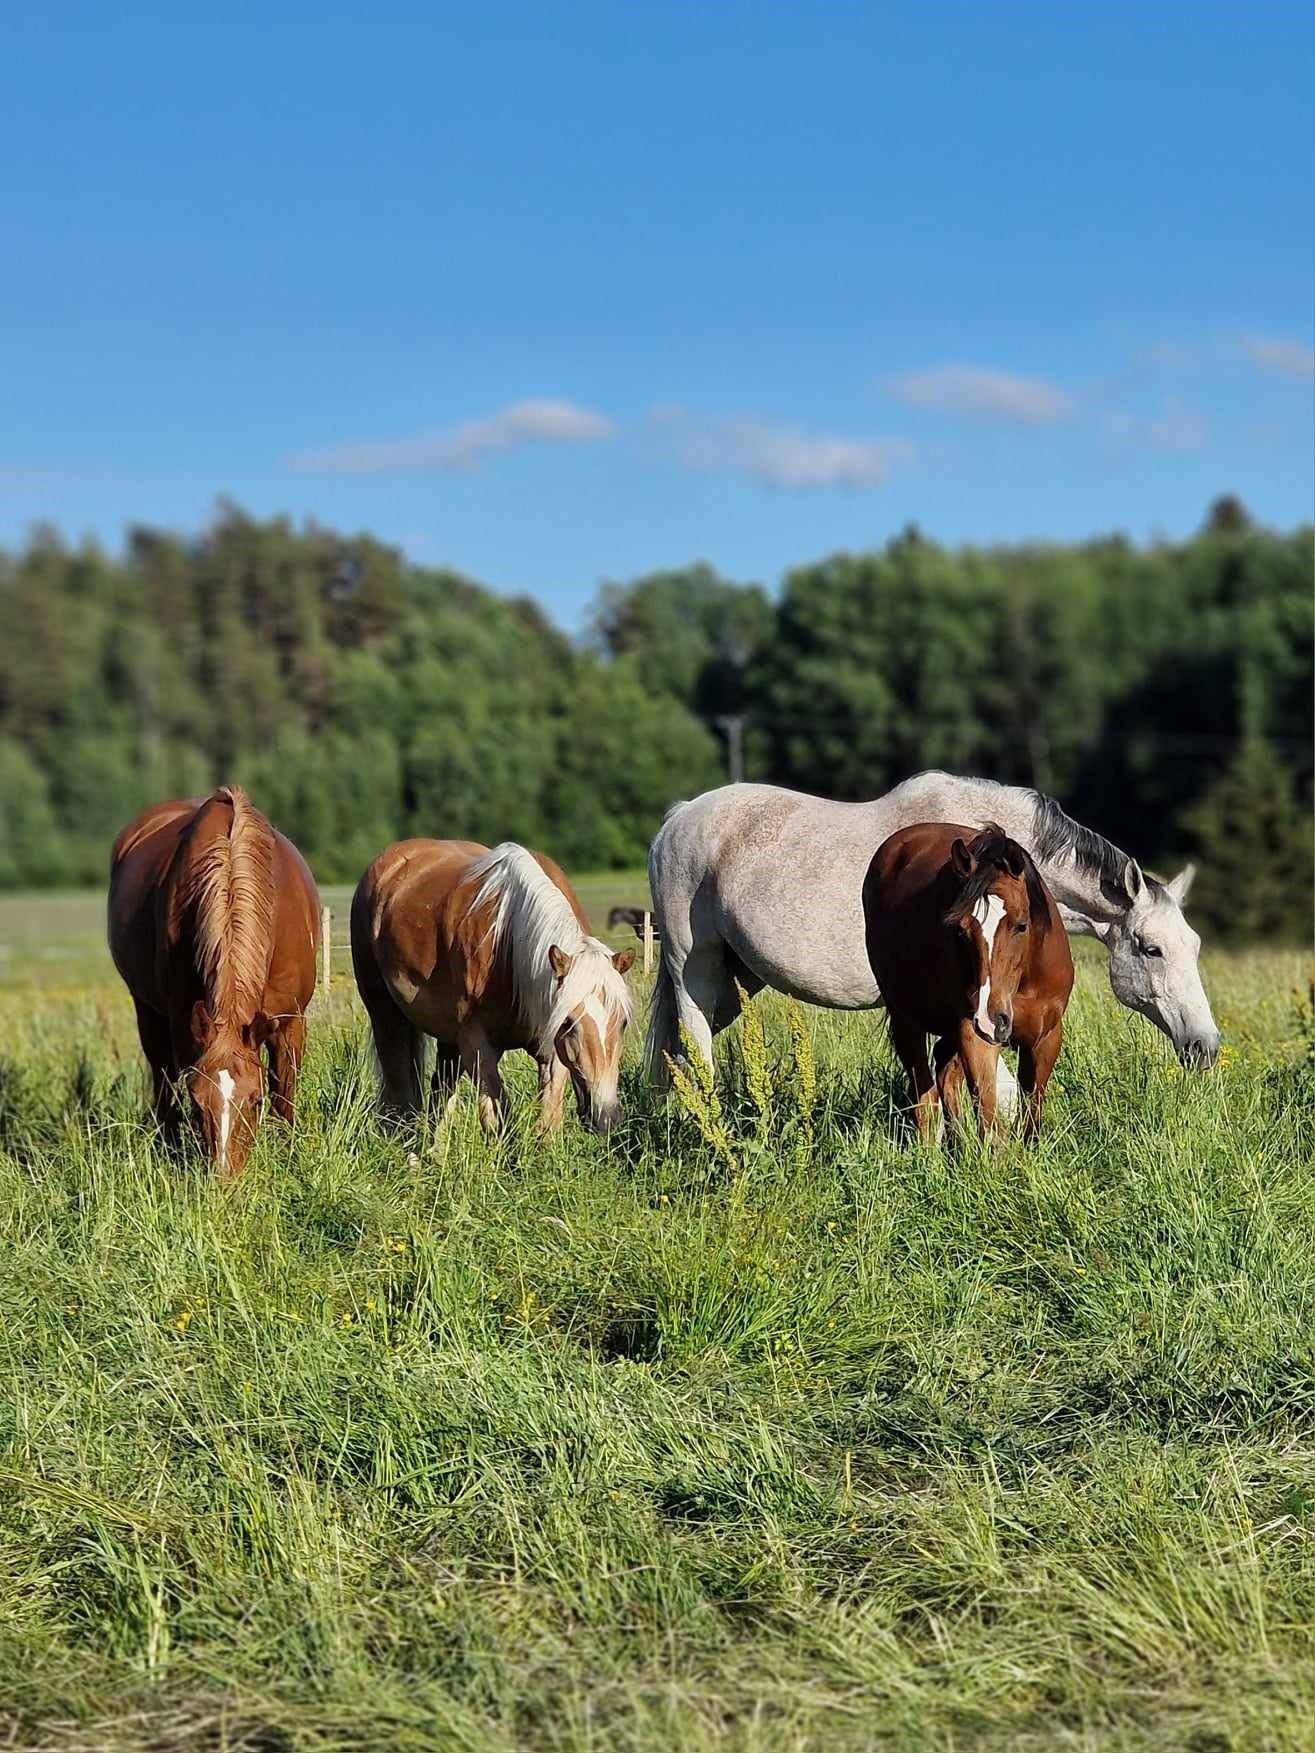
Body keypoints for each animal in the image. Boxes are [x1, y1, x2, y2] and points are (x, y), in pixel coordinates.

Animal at [108, 786, 321, 1178]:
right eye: (197, 1101)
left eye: (255, 1101)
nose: (225, 1180)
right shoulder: (183, 1024)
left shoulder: (290, 1022)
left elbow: (284, 1093)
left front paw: (289, 1159)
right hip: (147, 1011)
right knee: (162, 1081)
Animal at [350, 840, 635, 1136]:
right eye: (569, 1023)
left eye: (623, 1023)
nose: (606, 1118)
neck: (509, 947)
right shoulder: (478, 1049)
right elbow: (499, 1125)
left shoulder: (551, 1053)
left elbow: (546, 1124)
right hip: (386, 1016)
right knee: (400, 1091)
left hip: (447, 1038)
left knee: (440, 1094)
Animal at [645, 770, 1218, 1092]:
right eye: (1151, 949)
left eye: (1194, 947)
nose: (1206, 1045)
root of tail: (677, 818)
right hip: (694, 968)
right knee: (695, 1046)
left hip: (736, 980)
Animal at [864, 823, 1074, 1141]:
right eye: (962, 931)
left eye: (1021, 925)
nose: (991, 1018)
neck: (1022, 984)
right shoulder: (975, 1036)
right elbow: (990, 1122)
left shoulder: (1046, 1037)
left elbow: (1031, 1116)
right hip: (906, 1021)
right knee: (925, 1097)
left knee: (944, 1071)